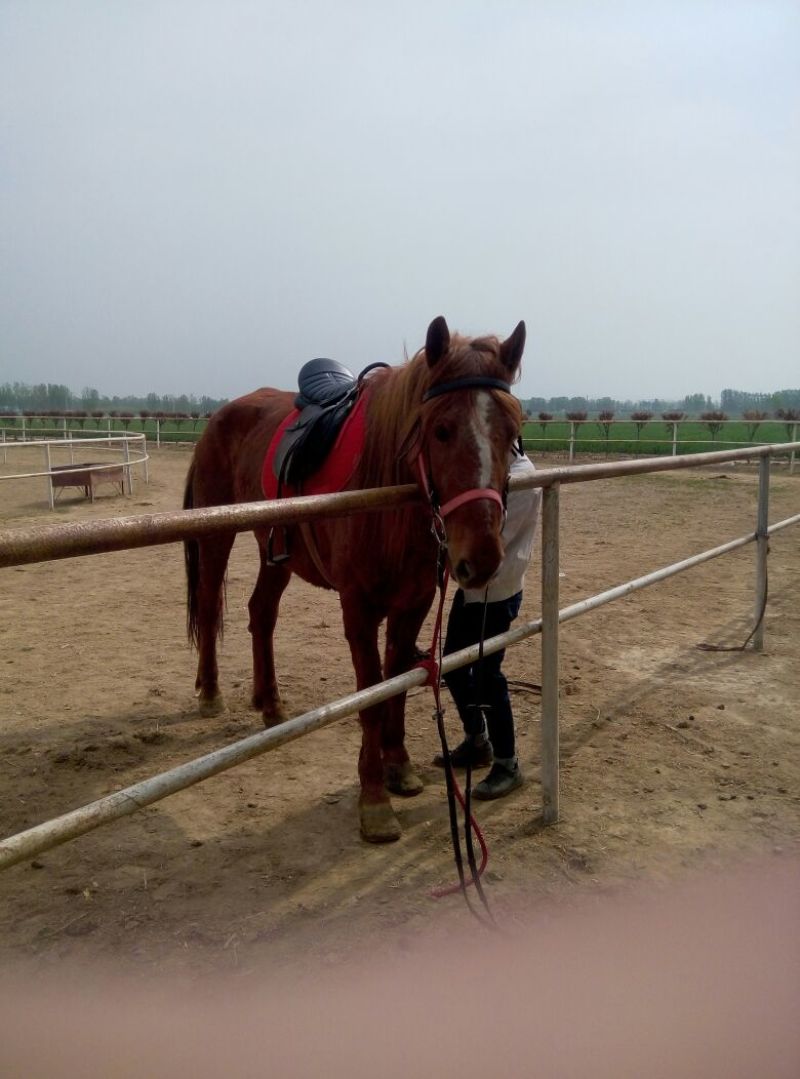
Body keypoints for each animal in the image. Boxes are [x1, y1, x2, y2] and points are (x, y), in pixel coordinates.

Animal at [183, 316, 525, 842]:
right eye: (441, 430)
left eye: (512, 434)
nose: (482, 559)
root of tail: (221, 415)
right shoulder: (359, 609)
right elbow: (370, 697)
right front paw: (374, 802)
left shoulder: (414, 604)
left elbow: (397, 684)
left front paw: (399, 767)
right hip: (217, 533)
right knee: (207, 603)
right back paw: (212, 694)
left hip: (274, 551)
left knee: (261, 613)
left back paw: (270, 704)